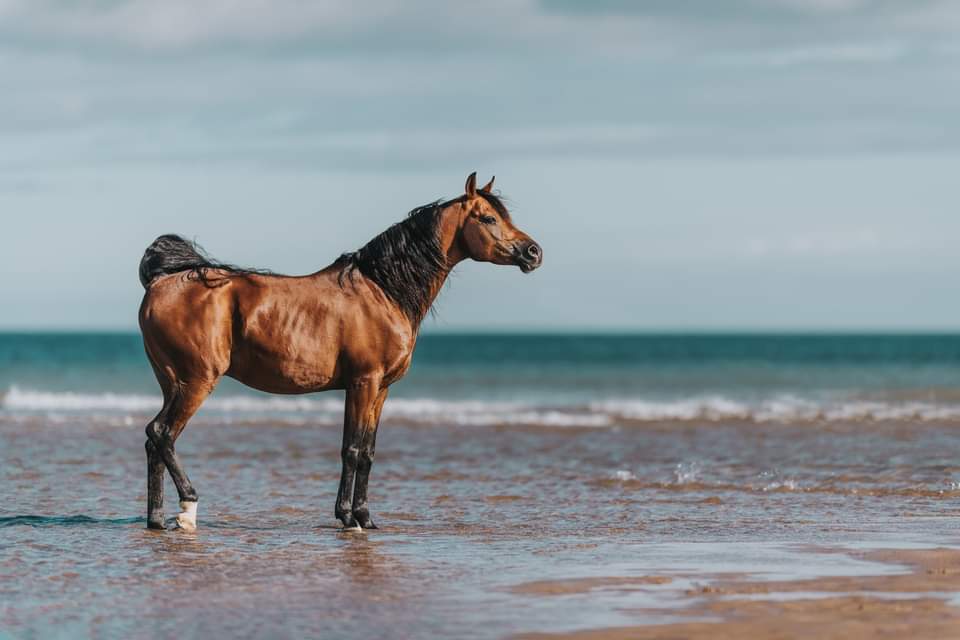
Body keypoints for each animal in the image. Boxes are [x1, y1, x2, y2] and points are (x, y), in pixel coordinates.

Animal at [137, 172, 540, 532]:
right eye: (488, 218)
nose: (533, 252)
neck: (382, 291)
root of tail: (161, 282)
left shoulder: (380, 389)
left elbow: (368, 452)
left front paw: (364, 516)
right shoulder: (363, 382)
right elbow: (352, 449)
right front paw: (349, 518)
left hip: (172, 383)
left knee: (154, 440)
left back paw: (156, 519)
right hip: (197, 381)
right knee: (162, 433)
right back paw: (187, 510)